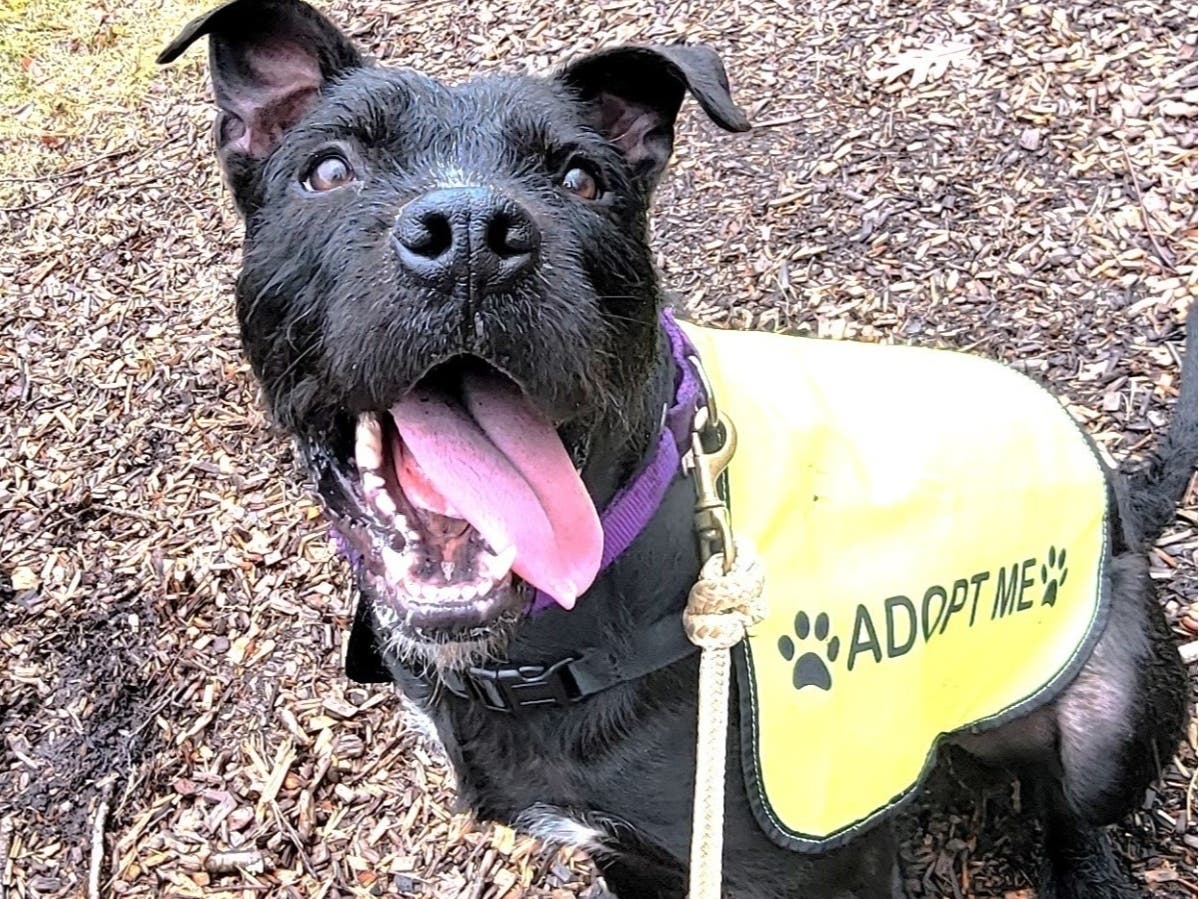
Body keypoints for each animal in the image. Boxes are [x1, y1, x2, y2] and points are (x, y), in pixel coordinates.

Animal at [161, 3, 1199, 896]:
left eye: (582, 180)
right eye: (327, 169)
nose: (469, 236)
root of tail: (1119, 494)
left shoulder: (824, 867)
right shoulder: (627, 854)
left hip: (1106, 718)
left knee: (1071, 803)